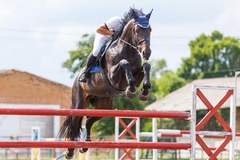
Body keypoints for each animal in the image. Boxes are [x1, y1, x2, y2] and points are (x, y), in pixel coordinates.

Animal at [58, 8, 152, 159]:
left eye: (150, 29)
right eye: (137, 30)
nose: (146, 52)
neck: (127, 50)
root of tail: (76, 80)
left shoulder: (138, 73)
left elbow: (146, 66)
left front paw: (144, 92)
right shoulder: (113, 77)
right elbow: (124, 63)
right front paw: (131, 90)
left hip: (104, 105)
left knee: (89, 121)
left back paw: (85, 146)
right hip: (79, 103)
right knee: (74, 121)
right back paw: (70, 151)